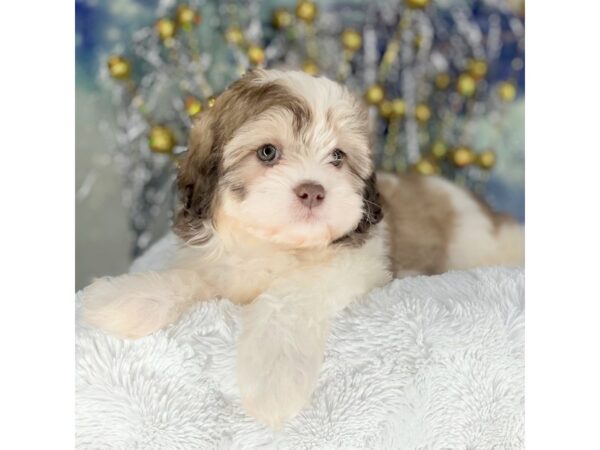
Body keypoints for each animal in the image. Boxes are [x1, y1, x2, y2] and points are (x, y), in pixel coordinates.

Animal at [82, 68, 524, 428]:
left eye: (337, 157)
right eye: (267, 152)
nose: (312, 190)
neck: (276, 245)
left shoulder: (354, 264)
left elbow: (285, 300)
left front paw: (273, 379)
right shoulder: (218, 261)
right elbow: (187, 277)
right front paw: (126, 297)